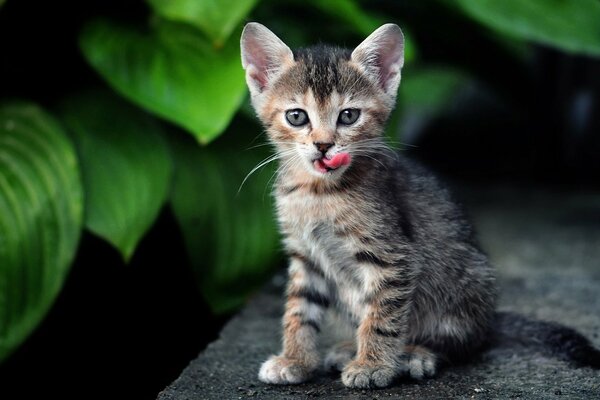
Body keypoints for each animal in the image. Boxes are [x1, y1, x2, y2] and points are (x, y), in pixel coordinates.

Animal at [240, 21, 600, 388]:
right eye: (297, 117)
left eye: (348, 116)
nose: (324, 145)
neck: (317, 193)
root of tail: (488, 323)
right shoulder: (305, 256)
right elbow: (299, 311)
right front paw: (295, 360)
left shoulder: (393, 257)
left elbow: (381, 316)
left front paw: (372, 365)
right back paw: (348, 347)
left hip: (467, 283)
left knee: (461, 344)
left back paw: (414, 354)